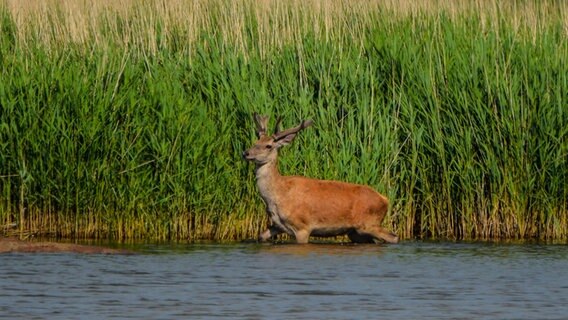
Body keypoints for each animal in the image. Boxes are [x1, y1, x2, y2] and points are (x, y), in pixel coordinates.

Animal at [242, 114, 398, 244]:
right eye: (255, 141)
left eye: (268, 146)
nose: (246, 153)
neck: (278, 194)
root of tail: (385, 199)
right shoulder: (278, 225)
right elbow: (261, 236)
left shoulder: (302, 226)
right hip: (355, 232)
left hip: (369, 223)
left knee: (393, 237)